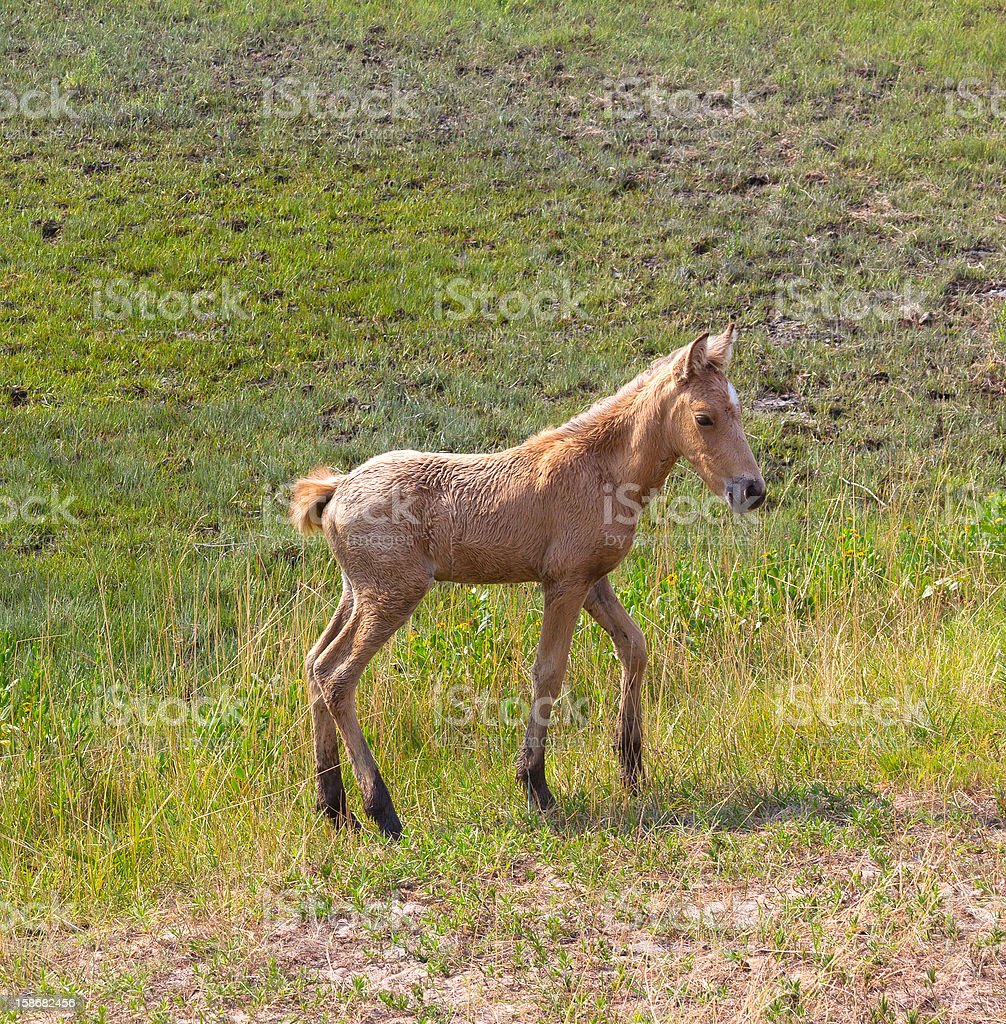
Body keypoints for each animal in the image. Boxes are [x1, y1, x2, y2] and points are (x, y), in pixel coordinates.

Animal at [290, 323, 762, 835]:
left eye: (737, 408)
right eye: (703, 418)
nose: (752, 490)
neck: (602, 469)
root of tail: (337, 490)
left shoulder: (594, 581)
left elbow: (633, 647)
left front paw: (631, 768)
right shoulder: (564, 583)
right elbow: (548, 672)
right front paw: (535, 784)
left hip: (356, 594)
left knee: (315, 664)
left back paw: (334, 806)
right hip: (392, 596)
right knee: (337, 677)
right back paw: (381, 809)